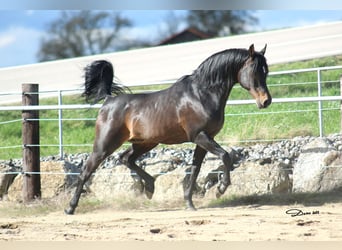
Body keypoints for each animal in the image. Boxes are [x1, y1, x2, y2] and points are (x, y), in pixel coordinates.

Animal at [64, 43, 272, 215]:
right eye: (254, 72)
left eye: (266, 71)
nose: (266, 101)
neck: (201, 95)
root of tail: (108, 100)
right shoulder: (200, 136)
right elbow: (225, 156)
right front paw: (220, 190)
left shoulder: (204, 140)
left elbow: (195, 169)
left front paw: (189, 203)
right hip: (104, 145)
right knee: (86, 171)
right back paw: (70, 208)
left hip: (145, 143)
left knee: (126, 158)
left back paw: (149, 188)